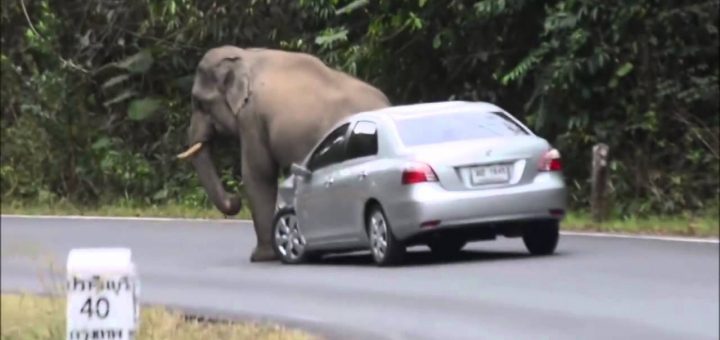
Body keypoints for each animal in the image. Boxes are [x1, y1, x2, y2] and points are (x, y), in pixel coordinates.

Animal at [177, 45, 390, 262]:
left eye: (199, 102)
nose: (235, 199)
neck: (244, 55)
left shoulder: (252, 116)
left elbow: (258, 173)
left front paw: (260, 257)